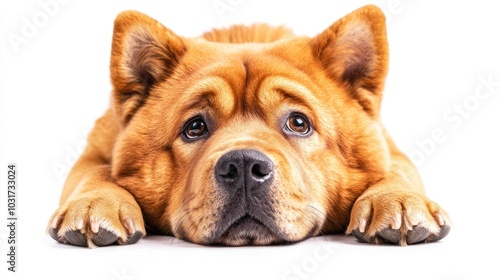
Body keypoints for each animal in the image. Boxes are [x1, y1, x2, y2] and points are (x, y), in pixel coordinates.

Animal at [47, 3, 450, 245]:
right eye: (195, 127)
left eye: (298, 123)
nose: (242, 165)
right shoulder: (93, 153)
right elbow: (96, 171)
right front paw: (94, 205)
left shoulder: (392, 150)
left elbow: (394, 169)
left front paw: (399, 201)